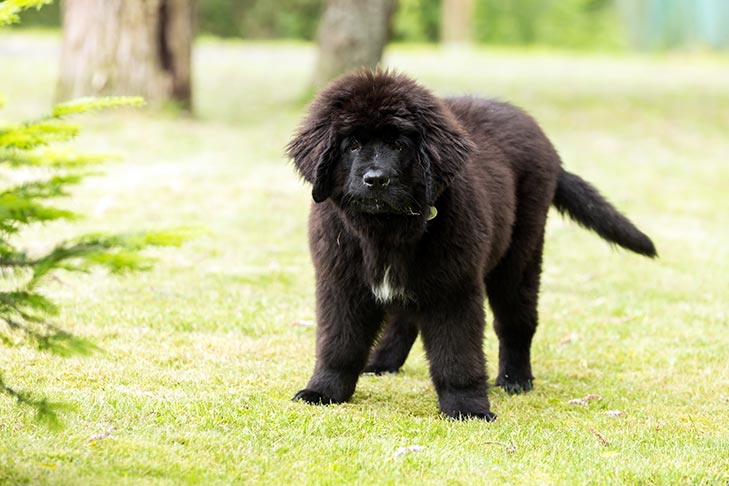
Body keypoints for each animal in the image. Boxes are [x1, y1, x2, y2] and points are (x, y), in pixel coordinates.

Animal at [286, 70, 656, 420]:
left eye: (400, 145)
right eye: (351, 145)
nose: (375, 180)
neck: (386, 232)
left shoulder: (455, 288)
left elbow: (457, 355)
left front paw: (467, 408)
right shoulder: (341, 284)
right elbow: (338, 345)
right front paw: (323, 391)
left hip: (519, 254)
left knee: (516, 321)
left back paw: (515, 379)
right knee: (404, 318)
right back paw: (382, 362)